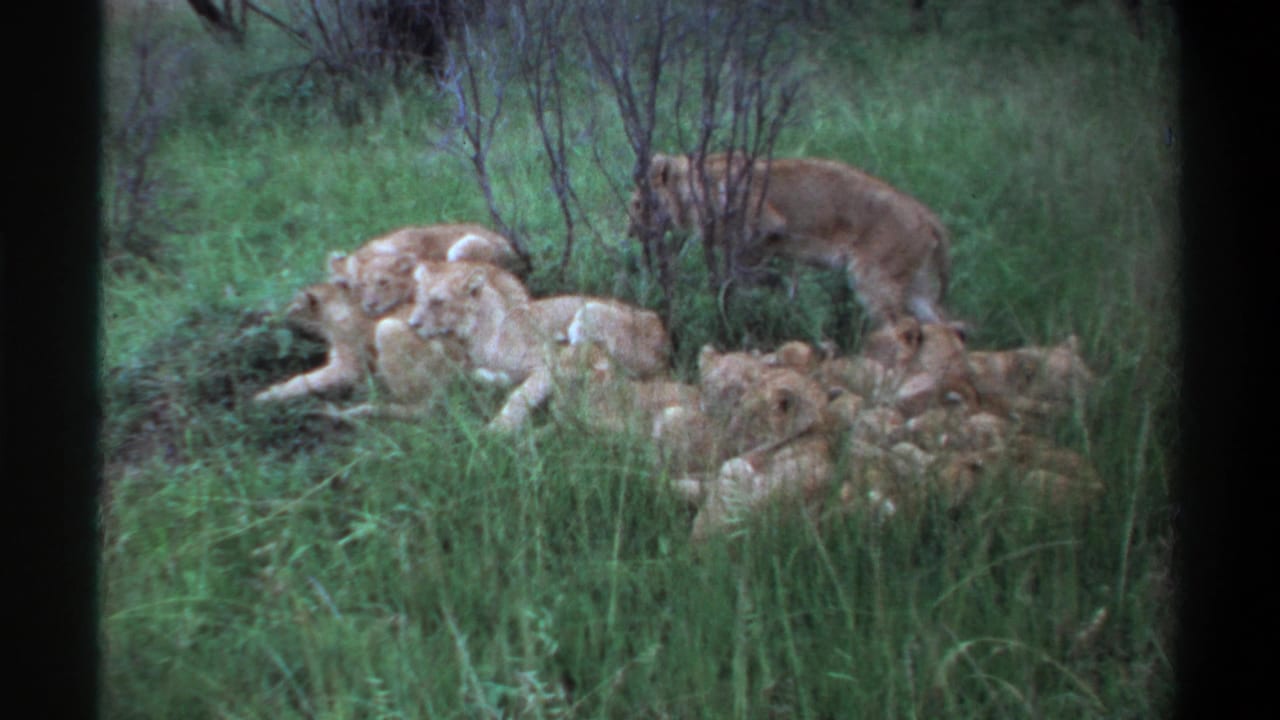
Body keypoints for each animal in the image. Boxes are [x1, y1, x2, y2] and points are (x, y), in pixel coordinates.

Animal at [407, 262, 672, 431]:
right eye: (418, 299)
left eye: (438, 302)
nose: (412, 324)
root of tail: (665, 339)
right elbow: (481, 376)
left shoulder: (547, 365)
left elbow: (520, 396)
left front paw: (498, 430)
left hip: (588, 313)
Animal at [628, 152, 952, 325]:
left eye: (638, 204)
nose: (630, 231)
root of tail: (925, 213)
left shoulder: (762, 225)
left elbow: (742, 274)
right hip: (918, 286)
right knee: (948, 325)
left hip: (875, 279)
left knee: (902, 327)